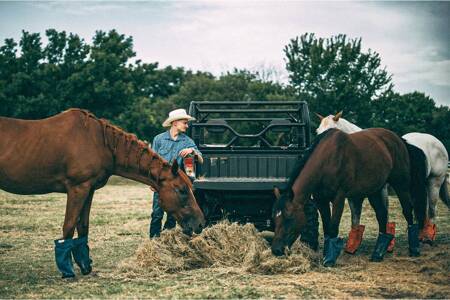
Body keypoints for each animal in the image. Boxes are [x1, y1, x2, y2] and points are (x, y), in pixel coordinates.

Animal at [0, 109, 205, 278]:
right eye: (182, 190)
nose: (201, 223)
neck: (98, 141)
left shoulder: (88, 190)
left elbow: (83, 227)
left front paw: (85, 266)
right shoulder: (77, 189)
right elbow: (69, 226)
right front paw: (67, 270)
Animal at [268, 127, 428, 266]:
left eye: (289, 218)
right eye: (274, 218)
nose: (276, 250)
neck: (327, 160)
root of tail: (400, 140)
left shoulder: (339, 198)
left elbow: (333, 227)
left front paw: (329, 260)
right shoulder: (321, 200)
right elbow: (327, 228)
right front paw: (326, 255)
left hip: (401, 185)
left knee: (408, 212)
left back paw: (414, 249)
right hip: (375, 189)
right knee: (382, 215)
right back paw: (378, 253)